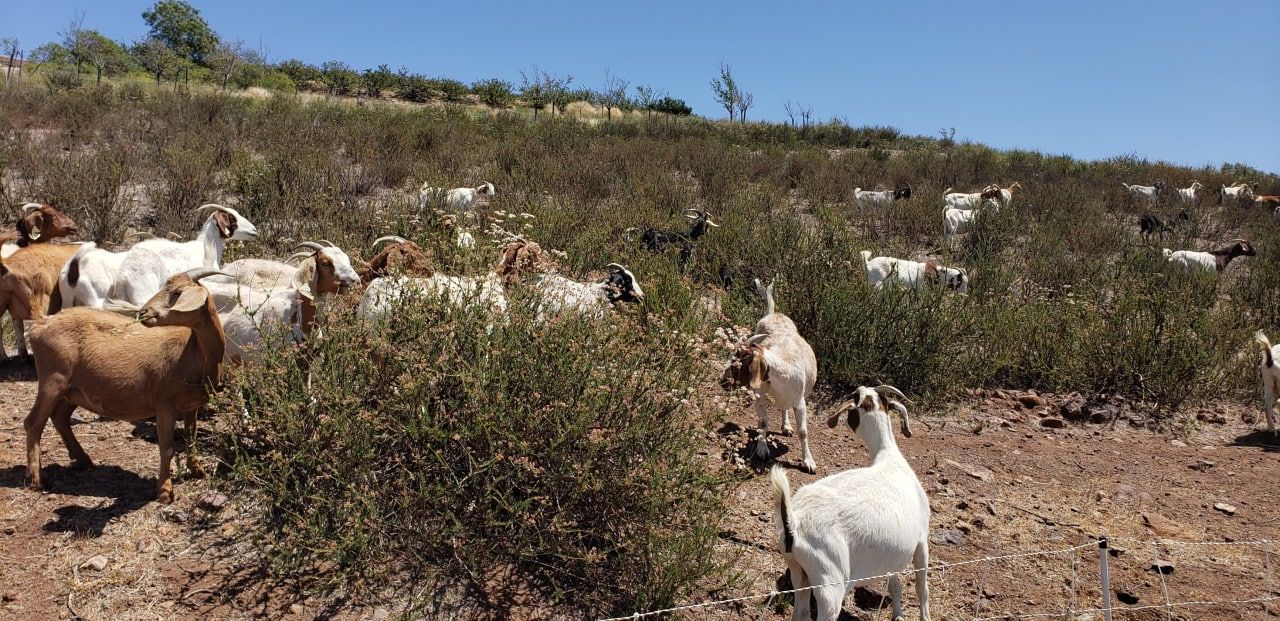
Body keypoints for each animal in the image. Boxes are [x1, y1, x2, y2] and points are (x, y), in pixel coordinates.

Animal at [24, 268, 228, 503]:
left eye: (177, 292)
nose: (144, 312)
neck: (193, 352)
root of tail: (39, 324)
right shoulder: (165, 405)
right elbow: (167, 447)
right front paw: (164, 491)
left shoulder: (190, 405)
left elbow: (191, 436)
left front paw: (197, 470)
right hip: (52, 380)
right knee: (33, 423)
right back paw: (37, 479)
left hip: (73, 390)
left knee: (59, 417)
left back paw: (83, 459)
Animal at [720, 280, 819, 473]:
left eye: (739, 361)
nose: (723, 381)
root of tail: (773, 313)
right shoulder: (760, 395)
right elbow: (763, 423)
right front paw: (762, 449)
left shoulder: (800, 401)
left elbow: (803, 431)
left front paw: (808, 462)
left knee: (784, 408)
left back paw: (786, 426)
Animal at [771, 384, 930, 621]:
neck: (889, 458)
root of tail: (794, 522)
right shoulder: (922, 542)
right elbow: (922, 589)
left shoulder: (894, 554)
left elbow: (895, 585)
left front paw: (898, 614)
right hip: (830, 583)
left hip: (799, 572)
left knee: (801, 611)